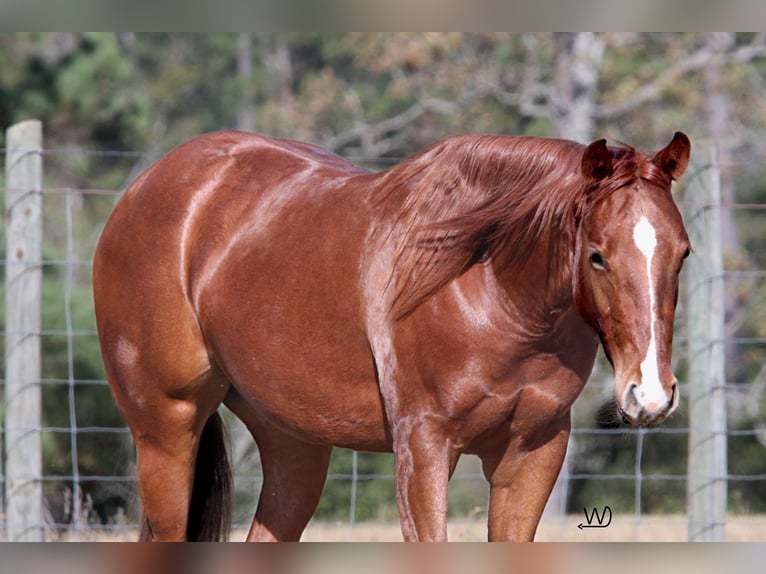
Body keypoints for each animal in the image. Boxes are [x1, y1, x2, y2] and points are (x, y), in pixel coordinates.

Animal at [93, 130, 692, 544]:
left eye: (683, 252)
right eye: (597, 255)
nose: (649, 395)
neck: (488, 286)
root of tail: (143, 191)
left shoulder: (534, 453)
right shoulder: (423, 448)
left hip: (293, 445)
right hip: (167, 431)